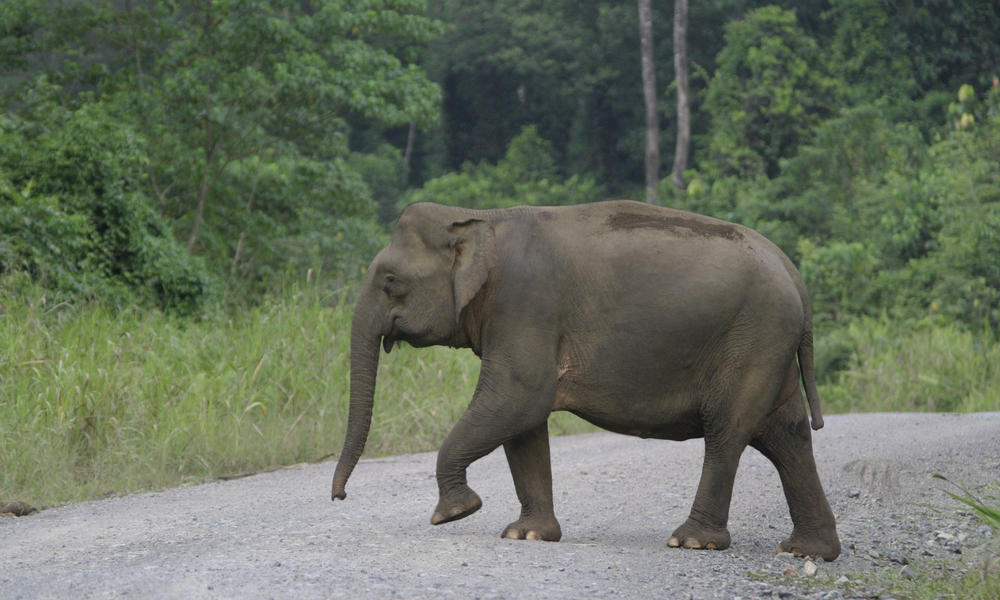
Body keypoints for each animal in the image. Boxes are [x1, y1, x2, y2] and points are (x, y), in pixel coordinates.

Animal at [334, 202, 844, 564]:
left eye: (391, 281)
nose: (338, 496)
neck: (481, 219)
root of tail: (793, 272)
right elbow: (523, 422)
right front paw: (527, 535)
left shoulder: (524, 305)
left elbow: (519, 397)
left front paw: (456, 512)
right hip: (770, 347)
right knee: (786, 436)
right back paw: (807, 551)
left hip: (751, 341)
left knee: (728, 432)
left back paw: (692, 542)